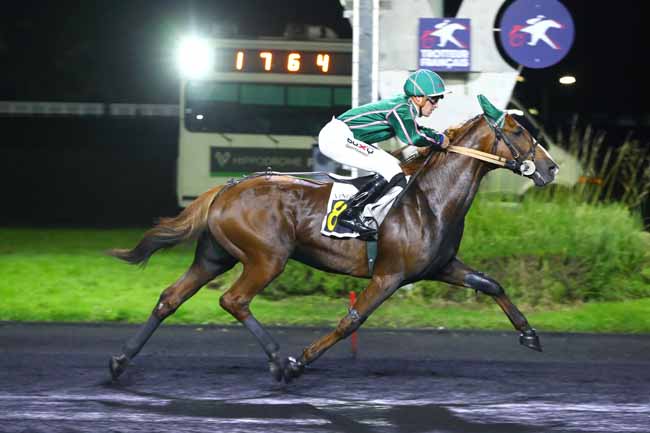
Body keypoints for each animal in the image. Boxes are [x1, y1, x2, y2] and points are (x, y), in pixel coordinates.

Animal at [109, 104, 556, 382]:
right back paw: (282, 361)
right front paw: (303, 359)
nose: (551, 168)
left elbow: (491, 284)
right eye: (518, 131)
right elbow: (350, 322)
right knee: (233, 300)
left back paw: (119, 361)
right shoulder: (390, 275)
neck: (430, 198)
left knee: (170, 298)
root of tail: (227, 187)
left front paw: (530, 335)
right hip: (267, 258)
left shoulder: (442, 266)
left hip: (214, 257)